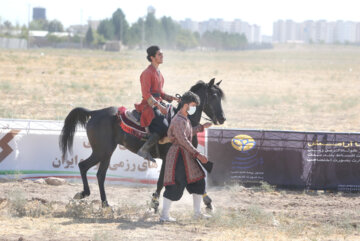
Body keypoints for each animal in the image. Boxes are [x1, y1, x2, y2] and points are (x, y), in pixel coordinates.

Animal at [60, 78, 226, 208]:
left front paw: (208, 201)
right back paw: (85, 194)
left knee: (100, 175)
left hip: (106, 153)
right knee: (84, 166)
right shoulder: (170, 156)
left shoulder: (186, 154)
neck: (186, 120)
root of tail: (95, 113)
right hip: (102, 151)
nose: (222, 118)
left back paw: (105, 204)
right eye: (213, 96)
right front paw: (154, 204)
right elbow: (161, 181)